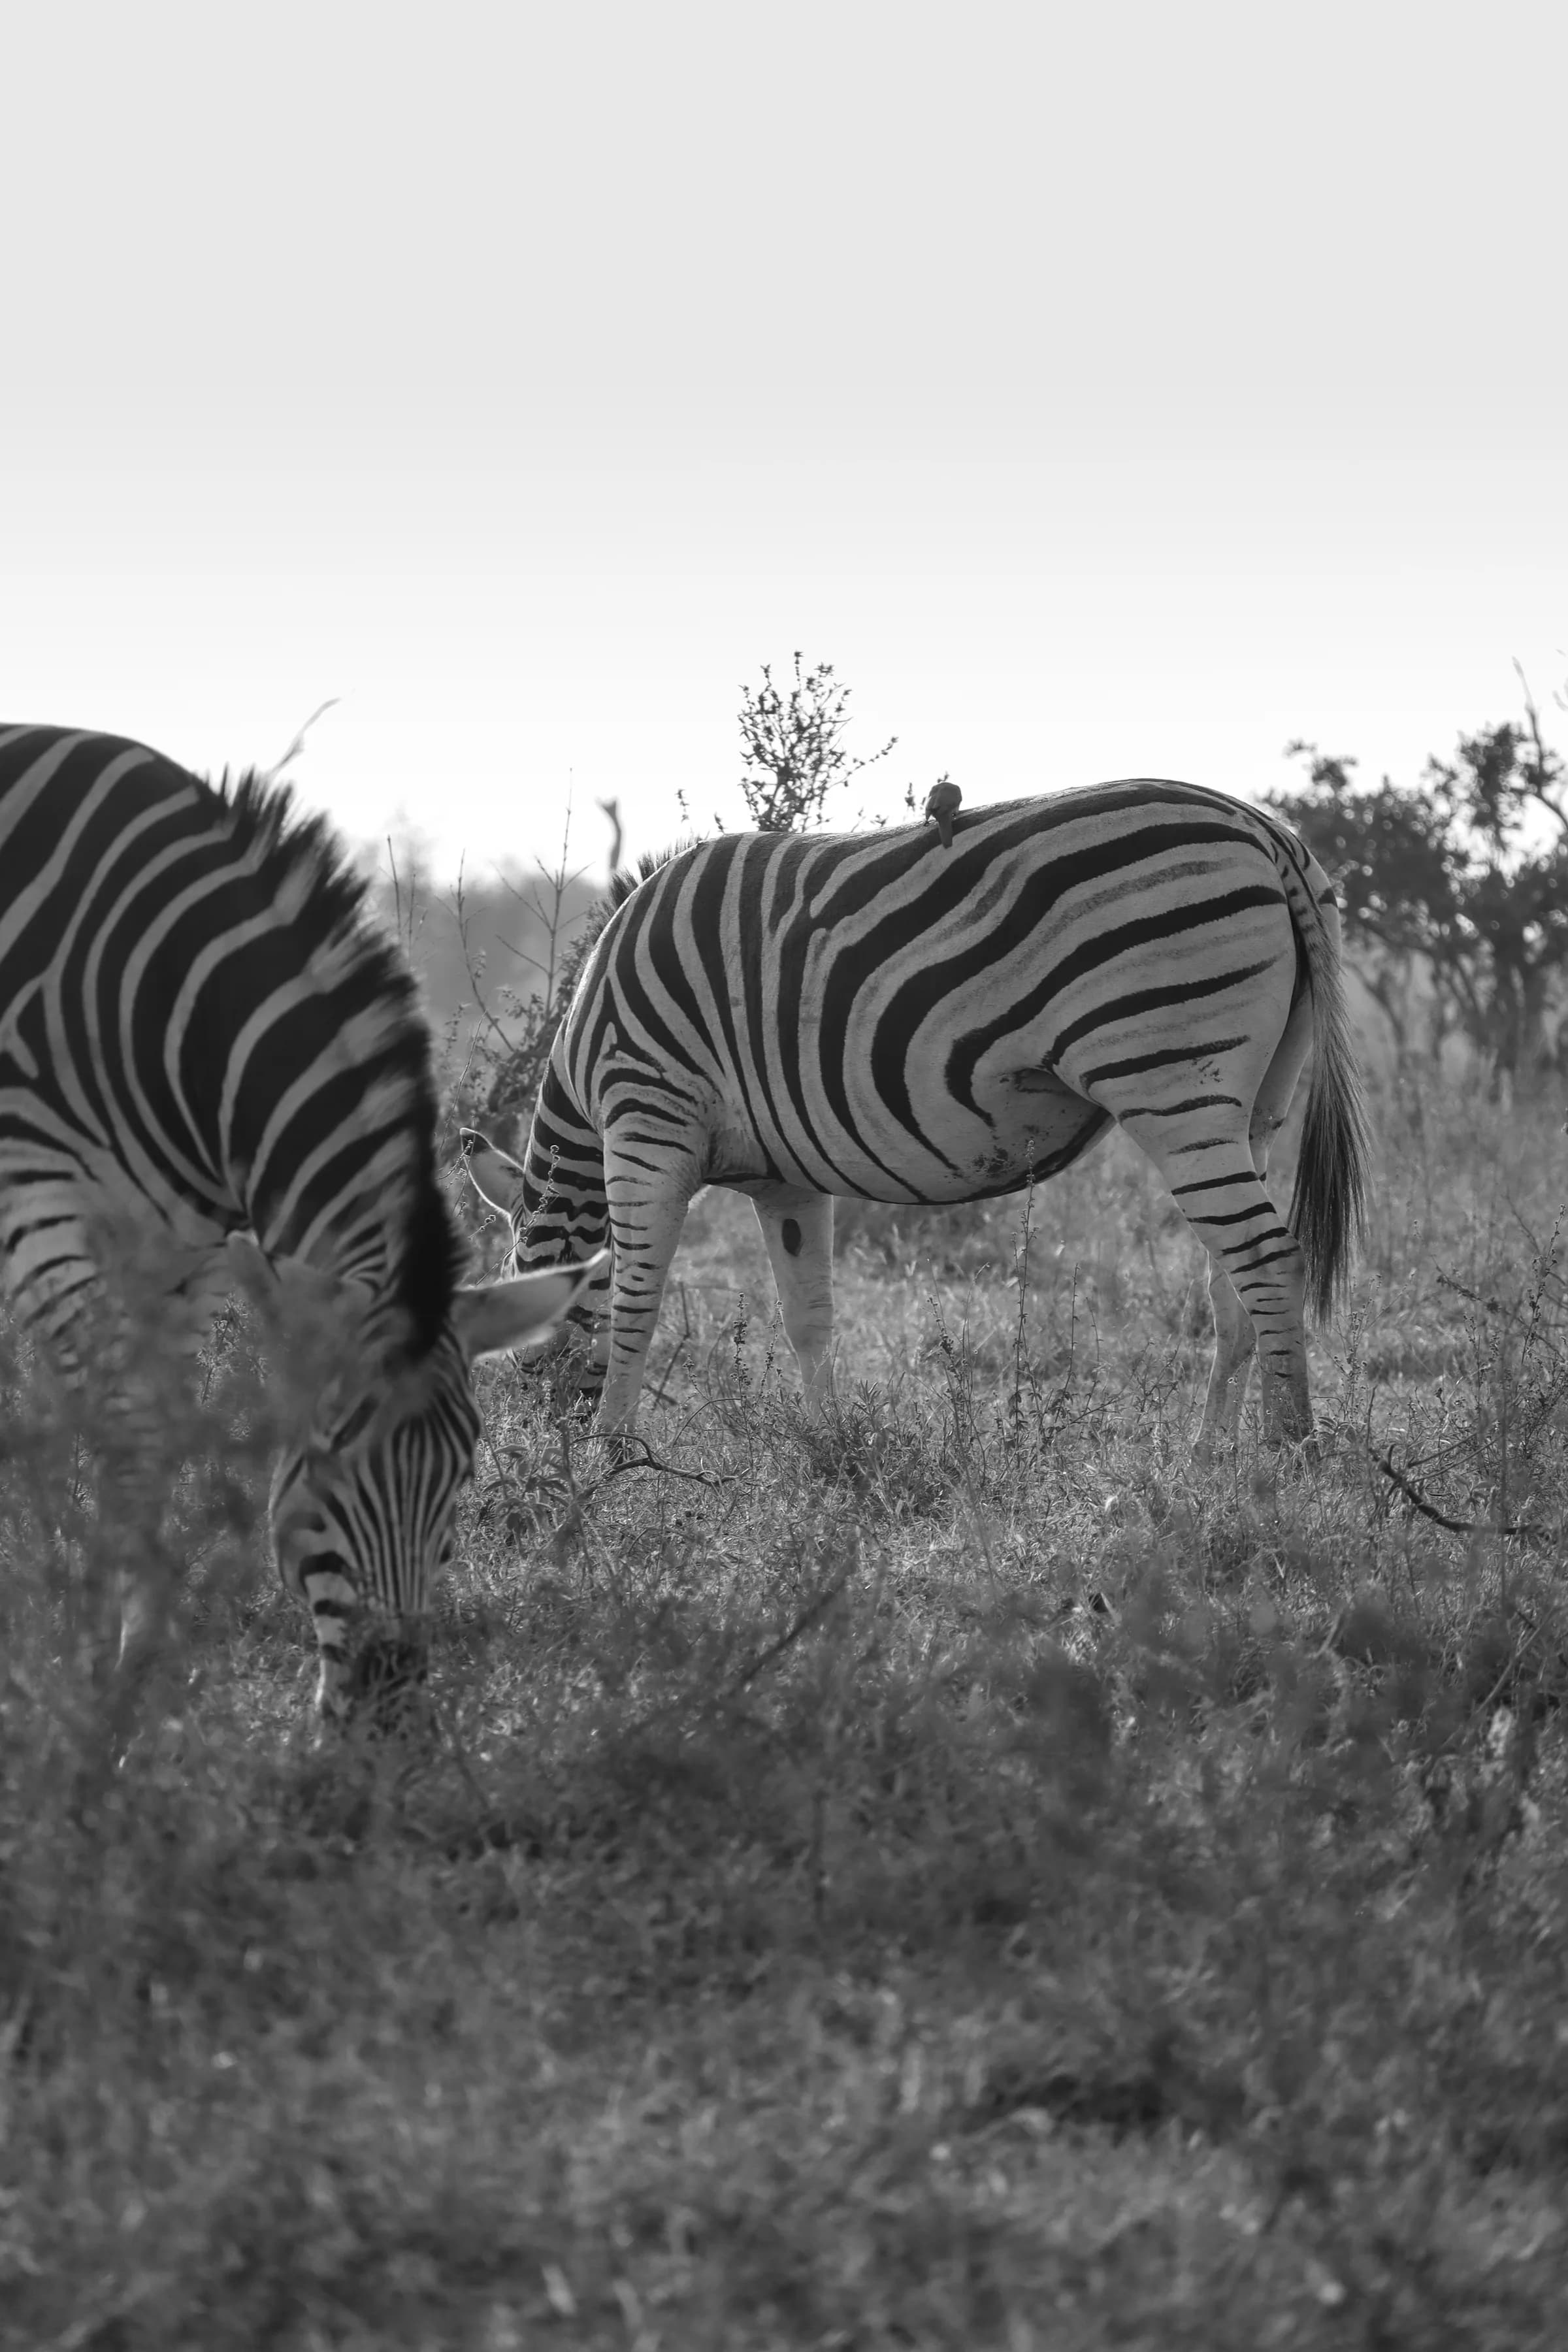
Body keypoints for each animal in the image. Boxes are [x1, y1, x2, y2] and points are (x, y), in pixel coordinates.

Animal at [0, 723, 606, 1720]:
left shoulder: (187, 1254)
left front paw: (132, 1665)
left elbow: (155, 1437)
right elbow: (123, 1431)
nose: (391, 1719)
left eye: (463, 1477)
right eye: (324, 1465)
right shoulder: (43, 1209)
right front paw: (100, 1683)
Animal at [462, 779, 1370, 1454]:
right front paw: (827, 1444)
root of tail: (1266, 831)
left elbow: (636, 1298)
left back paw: (1286, 1454)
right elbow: (808, 1318)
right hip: (1255, 1102)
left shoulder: (647, 1116)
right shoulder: (784, 1180)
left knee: (1269, 1258)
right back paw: (1208, 1457)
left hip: (1168, 1074)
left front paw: (611, 1454)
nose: (543, 1444)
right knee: (1232, 1279)